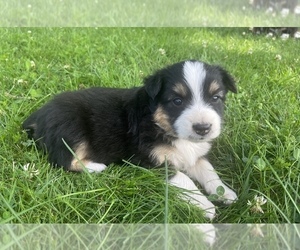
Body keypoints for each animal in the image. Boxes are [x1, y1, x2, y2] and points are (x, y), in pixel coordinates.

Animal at [22, 59, 238, 220]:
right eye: (177, 101)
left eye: (216, 98)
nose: (203, 128)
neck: (161, 125)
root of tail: (38, 115)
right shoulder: (151, 161)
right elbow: (185, 179)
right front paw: (206, 206)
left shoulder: (194, 154)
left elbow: (208, 171)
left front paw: (225, 193)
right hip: (71, 128)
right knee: (62, 160)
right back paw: (96, 167)